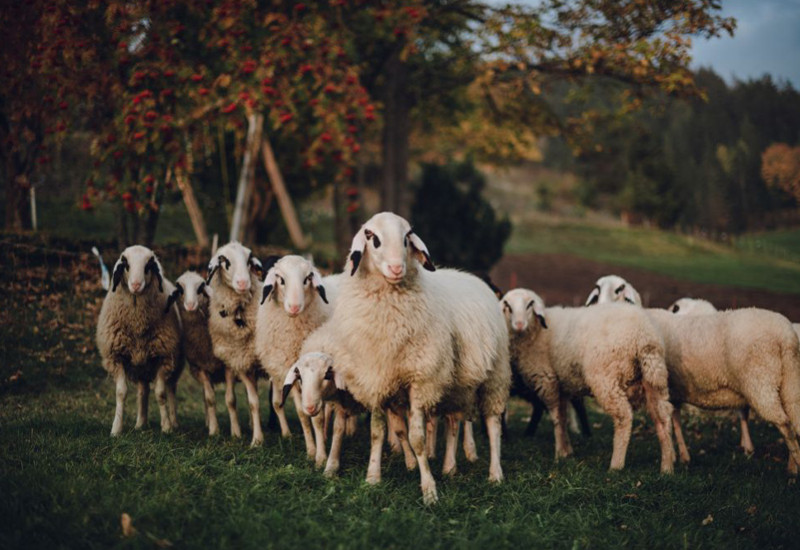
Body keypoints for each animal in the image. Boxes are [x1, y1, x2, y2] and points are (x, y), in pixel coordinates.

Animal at [96, 248, 184, 438]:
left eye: (148, 266)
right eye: (126, 265)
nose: (136, 285)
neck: (137, 322)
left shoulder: (163, 358)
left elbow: (160, 393)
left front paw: (166, 427)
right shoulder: (117, 357)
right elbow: (121, 393)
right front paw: (116, 429)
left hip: (174, 363)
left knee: (171, 390)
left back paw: (174, 422)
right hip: (141, 365)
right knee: (143, 391)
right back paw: (140, 423)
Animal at [170, 270, 228, 436]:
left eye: (200, 288)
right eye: (180, 289)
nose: (190, 305)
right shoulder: (200, 367)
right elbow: (209, 399)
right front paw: (214, 430)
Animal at [304, 213, 510, 506]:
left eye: (406, 238)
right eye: (373, 238)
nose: (396, 268)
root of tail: (474, 278)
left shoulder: (421, 379)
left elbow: (418, 438)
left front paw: (429, 490)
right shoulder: (376, 378)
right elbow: (377, 431)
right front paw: (373, 477)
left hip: (495, 374)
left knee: (493, 423)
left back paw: (495, 474)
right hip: (455, 384)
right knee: (453, 422)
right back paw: (450, 467)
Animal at [500, 288, 676, 474]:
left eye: (529, 305)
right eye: (507, 306)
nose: (519, 324)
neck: (535, 333)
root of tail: (644, 336)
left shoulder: (547, 380)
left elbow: (556, 418)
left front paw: (559, 453)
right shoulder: (562, 385)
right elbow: (563, 417)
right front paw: (567, 450)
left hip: (606, 378)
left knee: (624, 416)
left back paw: (616, 465)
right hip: (654, 376)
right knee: (663, 417)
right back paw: (667, 467)